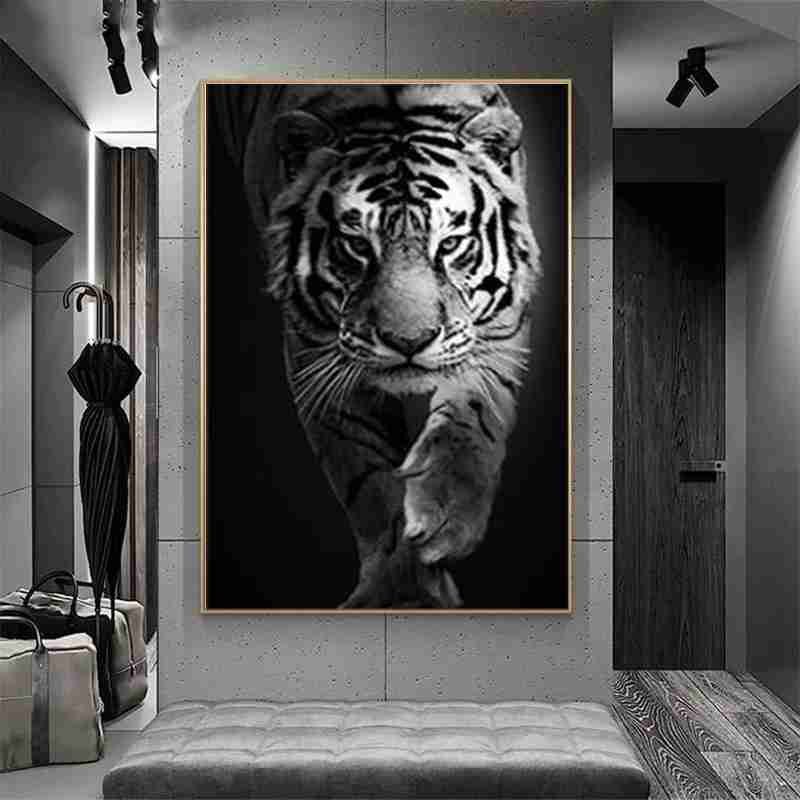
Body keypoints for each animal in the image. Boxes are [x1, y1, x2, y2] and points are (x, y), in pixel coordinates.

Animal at [228, 84, 541, 608]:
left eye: (450, 244)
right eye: (357, 245)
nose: (408, 341)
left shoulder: (500, 323)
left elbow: (474, 411)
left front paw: (447, 512)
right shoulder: (318, 354)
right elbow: (367, 476)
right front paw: (405, 591)